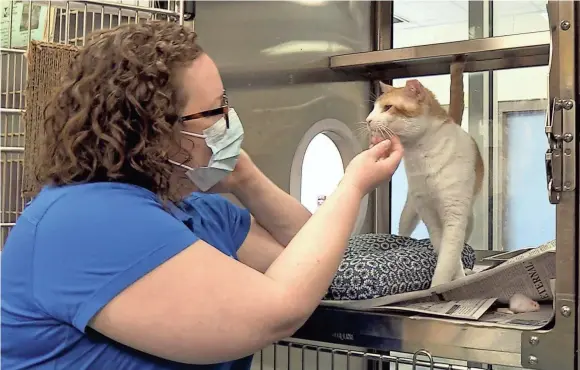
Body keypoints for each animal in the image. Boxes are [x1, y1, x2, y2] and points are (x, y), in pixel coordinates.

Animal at [368, 59, 484, 288]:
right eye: (374, 108)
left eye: (388, 107)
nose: (367, 120)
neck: (422, 155)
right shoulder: (430, 216)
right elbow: (445, 254)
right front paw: (447, 284)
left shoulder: (454, 217)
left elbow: (449, 257)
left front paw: (447, 284)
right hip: (410, 211)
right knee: (403, 230)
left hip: (469, 220)